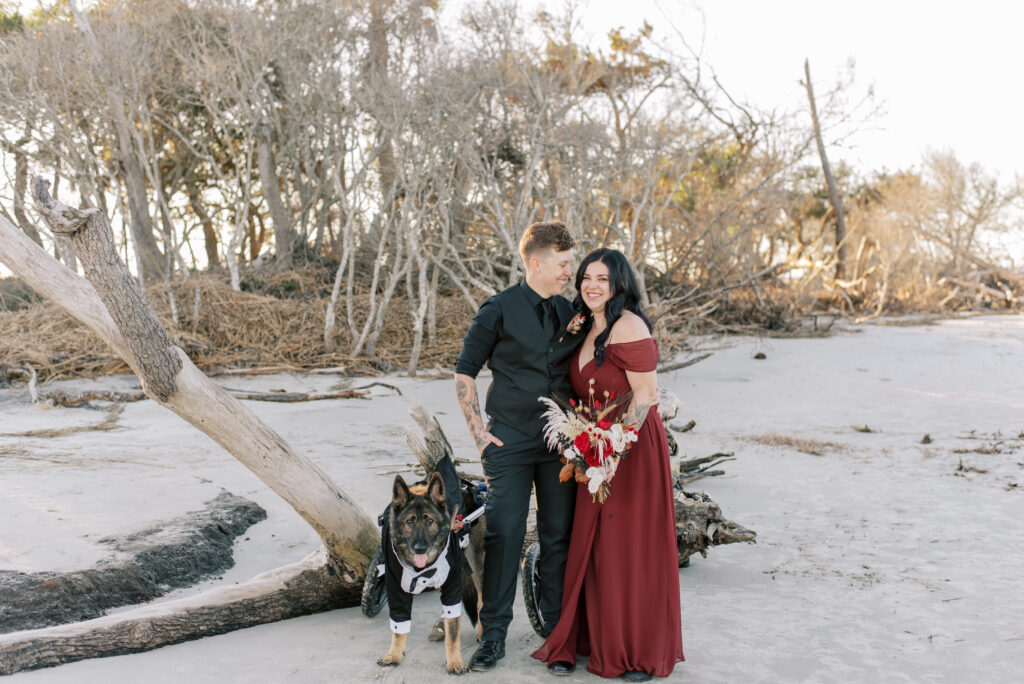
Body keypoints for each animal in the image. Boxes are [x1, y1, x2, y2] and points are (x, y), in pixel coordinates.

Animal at [378, 471, 485, 671]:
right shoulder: (396, 590)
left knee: (481, 600)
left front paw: (455, 661)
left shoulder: (452, 584)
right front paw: (394, 654)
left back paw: (482, 631)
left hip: (476, 565)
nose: (420, 548)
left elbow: (454, 632)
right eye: (410, 522)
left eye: (429, 521)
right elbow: (398, 627)